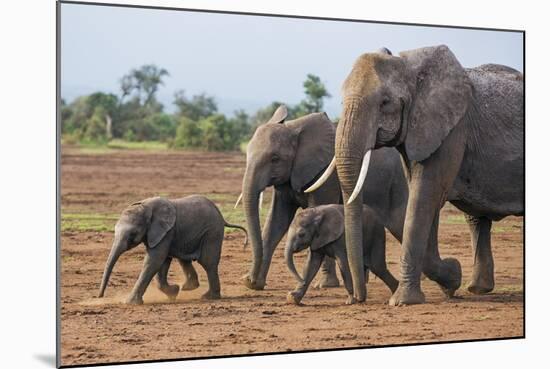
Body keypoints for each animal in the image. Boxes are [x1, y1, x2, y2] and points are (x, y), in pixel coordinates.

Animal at [97, 194, 248, 304]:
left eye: (132, 234)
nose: (100, 296)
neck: (145, 207)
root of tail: (222, 217)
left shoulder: (166, 231)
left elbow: (155, 259)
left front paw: (129, 303)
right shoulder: (161, 234)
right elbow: (162, 262)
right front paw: (173, 293)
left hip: (212, 232)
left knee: (208, 262)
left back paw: (208, 297)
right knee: (184, 259)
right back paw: (187, 287)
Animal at [237, 105, 410, 290]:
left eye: (274, 159)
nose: (248, 280)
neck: (294, 128)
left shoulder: (326, 175)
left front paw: (325, 285)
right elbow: (277, 222)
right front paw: (253, 284)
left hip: (398, 185)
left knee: (400, 224)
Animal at [314, 45, 528, 304]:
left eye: (385, 102)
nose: (355, 299)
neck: (410, 69)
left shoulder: (452, 129)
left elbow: (424, 195)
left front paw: (403, 301)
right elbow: (424, 201)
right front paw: (452, 277)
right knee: (476, 219)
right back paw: (477, 289)